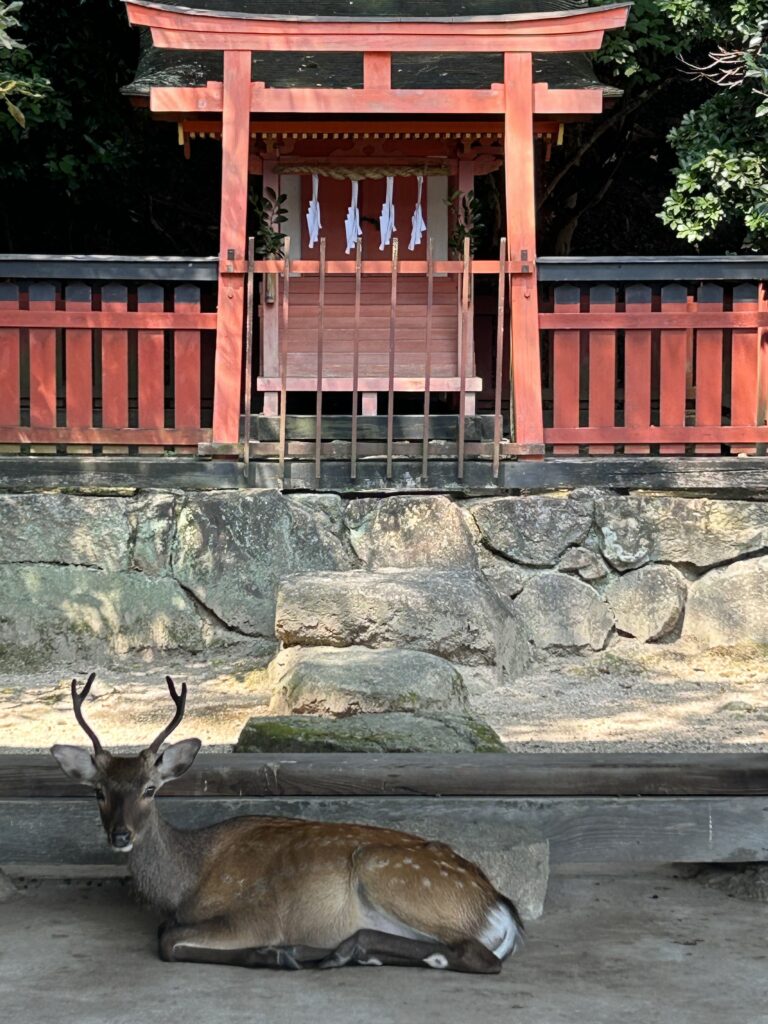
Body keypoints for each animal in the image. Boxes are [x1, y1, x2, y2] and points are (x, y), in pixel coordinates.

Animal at [51, 675, 528, 970]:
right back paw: (344, 951)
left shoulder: (256, 915)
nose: (120, 835)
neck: (188, 882)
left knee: (476, 954)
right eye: (99, 791)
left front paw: (271, 954)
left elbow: (167, 940)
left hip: (392, 875)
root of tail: (501, 909)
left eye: (150, 788)